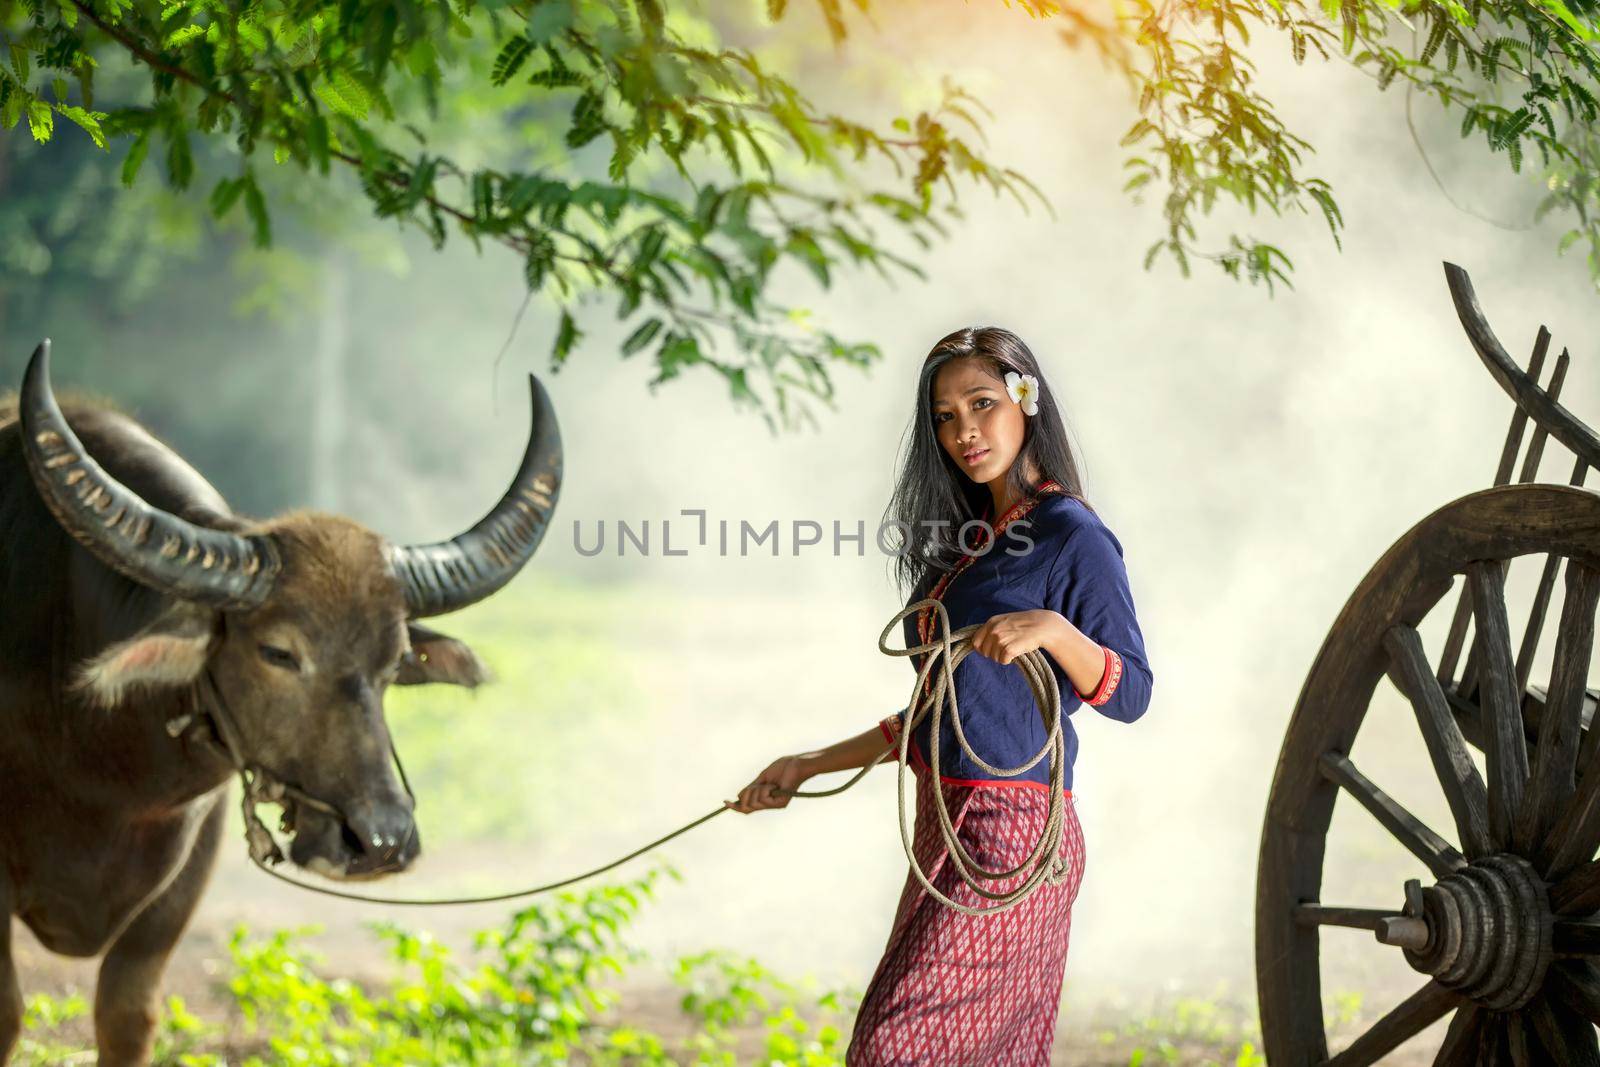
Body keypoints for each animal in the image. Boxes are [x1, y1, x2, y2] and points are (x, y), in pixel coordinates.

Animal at [0, 340, 563, 1062]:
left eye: (394, 660)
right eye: (277, 653)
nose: (381, 839)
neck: (99, 756)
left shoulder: (186, 873)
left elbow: (128, 1013)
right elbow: (9, 1014)